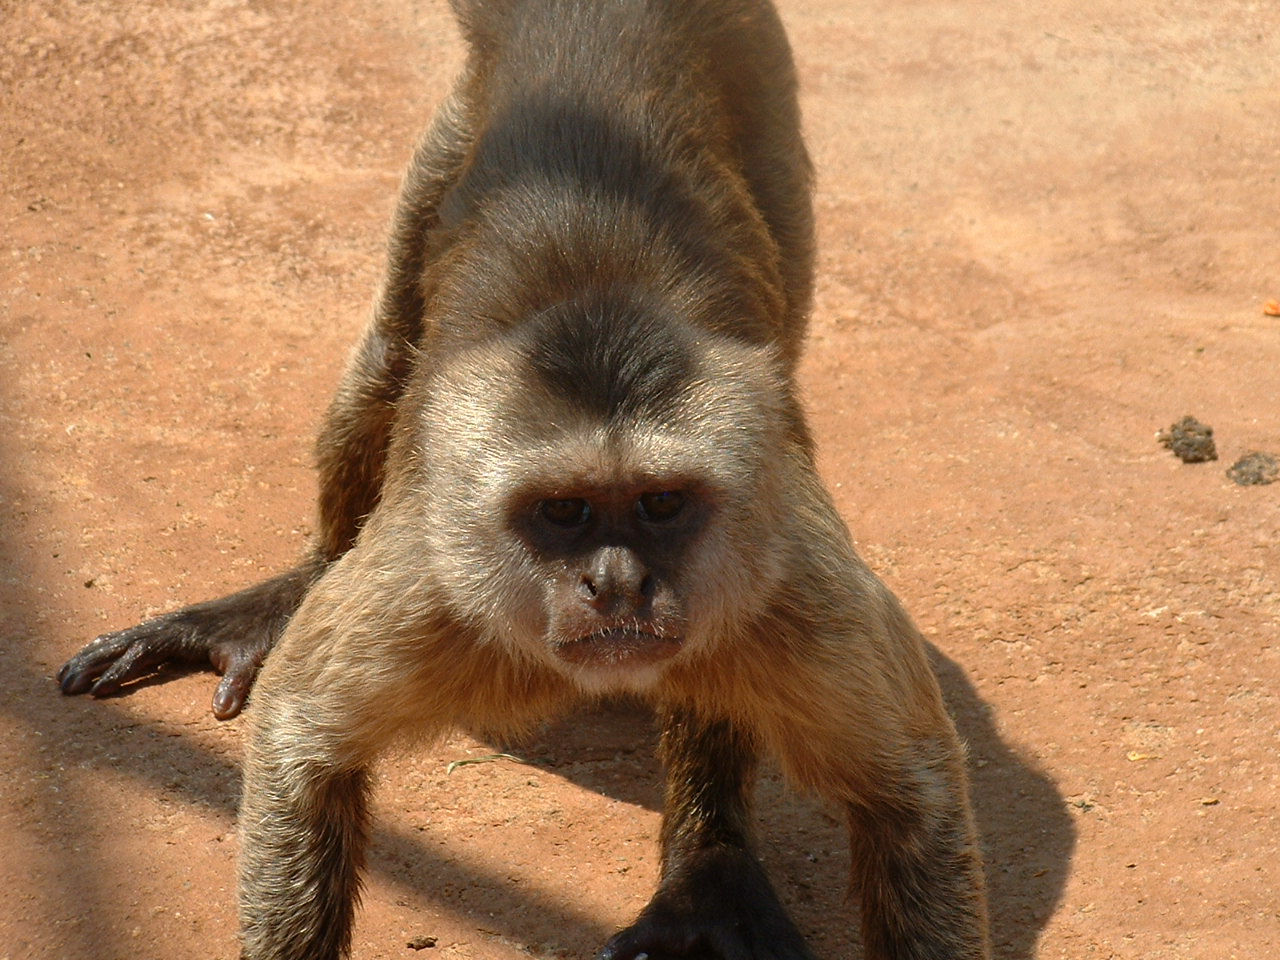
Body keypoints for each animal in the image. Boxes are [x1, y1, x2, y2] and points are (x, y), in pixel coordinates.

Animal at [57, 0, 991, 958]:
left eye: (660, 505)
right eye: (564, 511)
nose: (617, 584)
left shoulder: (791, 580)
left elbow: (914, 787)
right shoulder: (429, 579)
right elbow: (300, 742)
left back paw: (711, 862)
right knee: (391, 352)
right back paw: (295, 585)